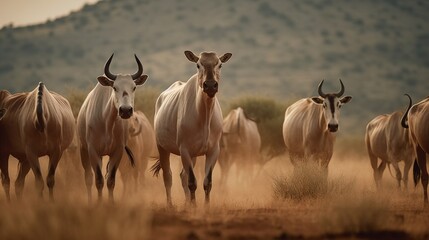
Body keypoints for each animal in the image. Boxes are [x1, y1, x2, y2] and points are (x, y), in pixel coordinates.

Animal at [77, 53, 149, 202]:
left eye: (134, 87)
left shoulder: (117, 151)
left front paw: (111, 203)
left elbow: (111, 180)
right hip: (83, 150)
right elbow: (98, 180)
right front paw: (99, 203)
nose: (126, 110)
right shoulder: (93, 151)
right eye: (115, 87)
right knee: (88, 177)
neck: (107, 123)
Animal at [150, 50, 231, 206]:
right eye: (198, 65)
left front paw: (205, 206)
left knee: (182, 176)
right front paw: (193, 206)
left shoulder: (213, 151)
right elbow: (192, 182)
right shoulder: (184, 150)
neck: (204, 117)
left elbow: (207, 182)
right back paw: (170, 204)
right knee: (168, 176)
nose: (210, 86)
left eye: (220, 64)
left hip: (192, 155)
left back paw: (187, 202)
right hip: (162, 147)